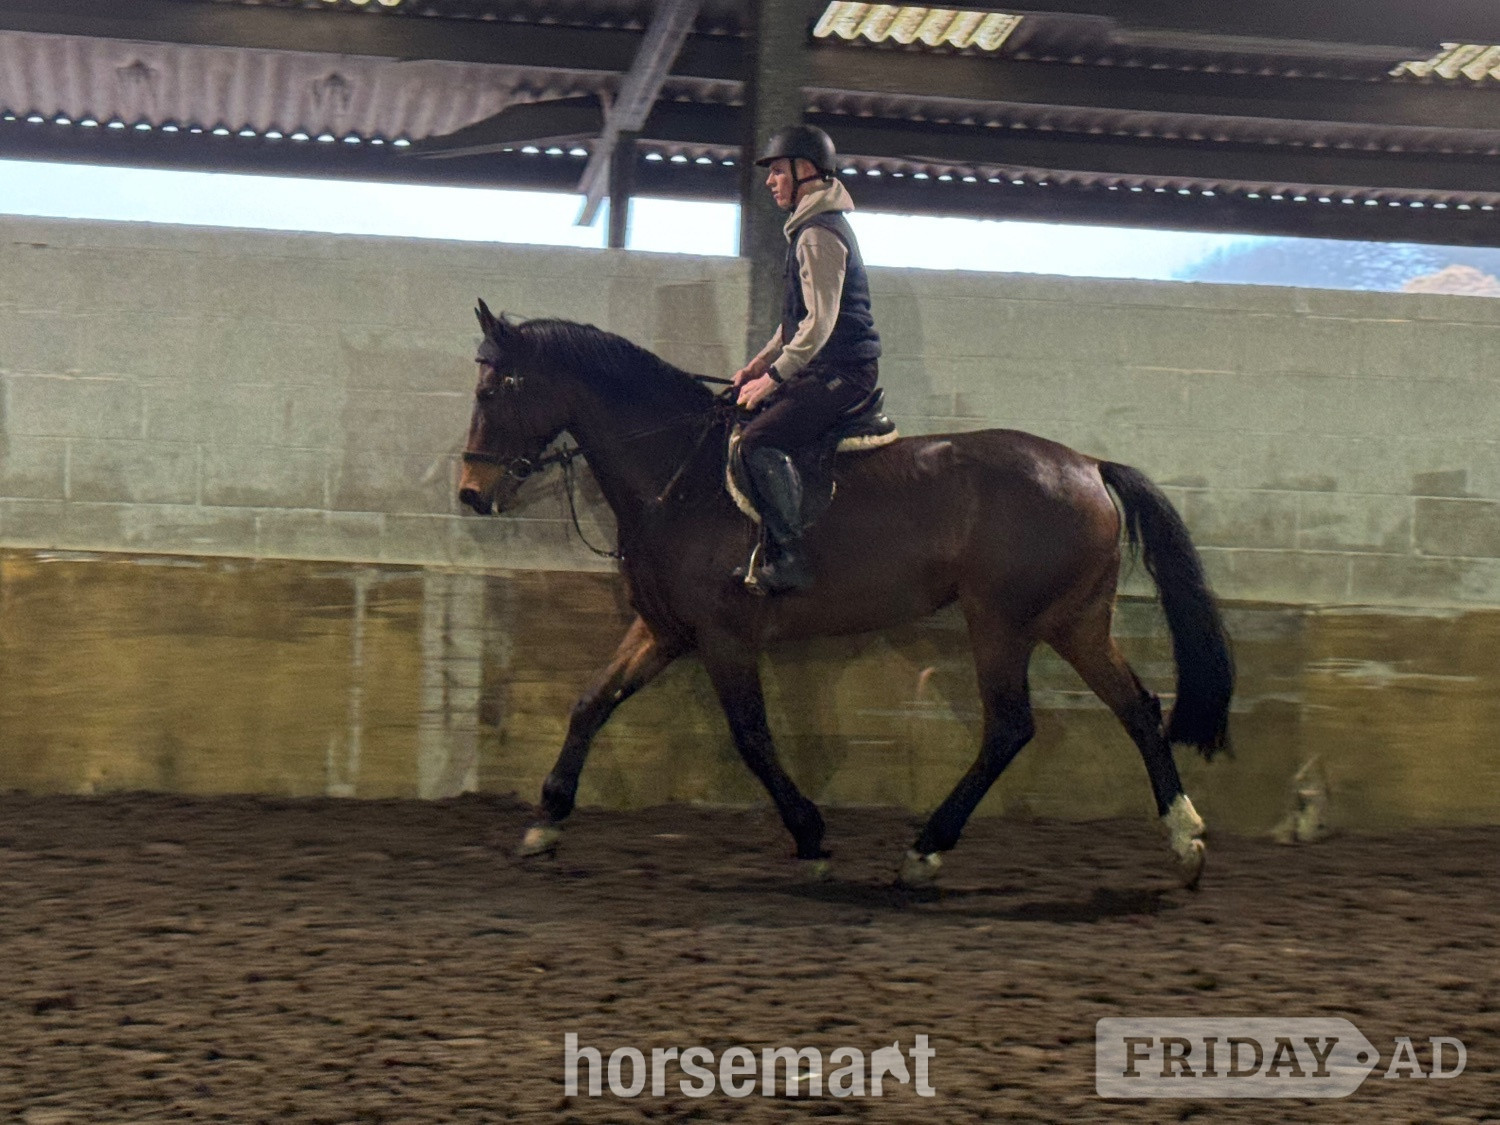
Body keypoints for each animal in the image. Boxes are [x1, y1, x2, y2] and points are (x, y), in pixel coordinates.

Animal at [457, 301, 1234, 888]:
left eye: (493, 391)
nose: (470, 495)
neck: (677, 475)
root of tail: (1089, 466)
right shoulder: (664, 629)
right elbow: (591, 703)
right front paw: (543, 824)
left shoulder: (723, 637)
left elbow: (751, 736)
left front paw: (811, 838)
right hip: (1073, 620)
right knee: (1137, 707)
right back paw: (1186, 840)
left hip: (1001, 620)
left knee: (1011, 726)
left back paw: (925, 850)